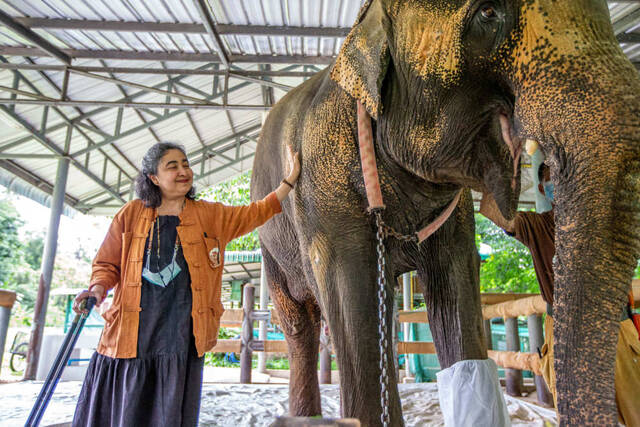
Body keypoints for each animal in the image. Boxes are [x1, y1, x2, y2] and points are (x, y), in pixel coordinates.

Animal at [251, 1, 640, 426]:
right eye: (488, 13)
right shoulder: (324, 185)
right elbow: (353, 305)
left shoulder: (454, 216)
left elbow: (454, 293)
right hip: (273, 245)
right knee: (299, 324)